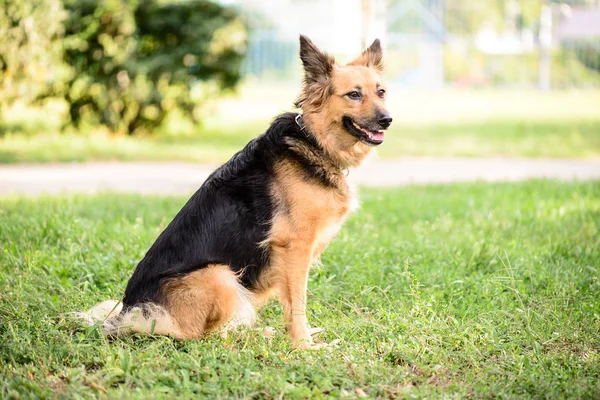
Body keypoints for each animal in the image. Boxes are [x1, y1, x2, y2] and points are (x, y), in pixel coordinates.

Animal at [82, 35, 392, 350]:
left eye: (381, 92)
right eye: (354, 94)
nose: (387, 120)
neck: (315, 142)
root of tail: (130, 312)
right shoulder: (294, 246)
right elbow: (297, 302)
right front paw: (304, 346)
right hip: (220, 275)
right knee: (200, 337)